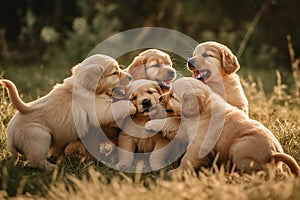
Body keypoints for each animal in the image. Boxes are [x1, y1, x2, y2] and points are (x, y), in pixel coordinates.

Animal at [1, 54, 136, 170]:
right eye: (115, 73)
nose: (131, 77)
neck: (84, 86)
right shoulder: (99, 109)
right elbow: (116, 107)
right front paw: (132, 105)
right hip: (39, 136)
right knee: (36, 160)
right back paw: (52, 167)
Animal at [149, 77, 298, 176]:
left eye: (172, 96)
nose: (160, 98)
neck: (204, 109)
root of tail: (274, 154)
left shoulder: (199, 144)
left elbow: (188, 159)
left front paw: (175, 172)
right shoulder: (186, 128)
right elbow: (171, 121)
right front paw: (150, 124)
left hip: (238, 146)